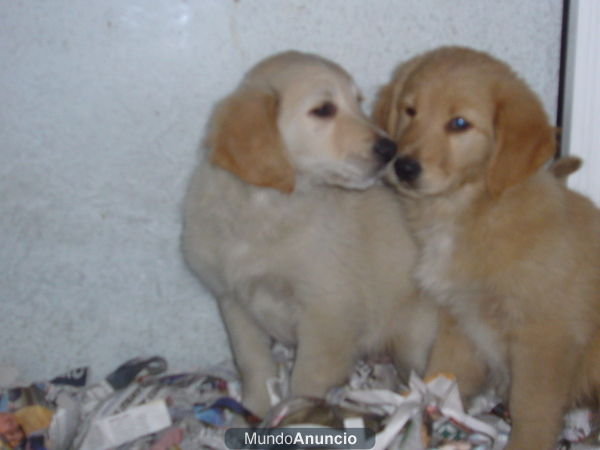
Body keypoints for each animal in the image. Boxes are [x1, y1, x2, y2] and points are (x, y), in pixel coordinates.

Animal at [183, 50, 436, 418]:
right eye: (324, 110)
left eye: (359, 102)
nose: (391, 148)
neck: (267, 207)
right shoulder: (234, 302)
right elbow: (253, 364)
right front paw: (253, 411)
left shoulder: (327, 310)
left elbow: (307, 378)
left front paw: (296, 415)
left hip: (416, 338)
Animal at [376, 46, 600, 450]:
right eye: (409, 111)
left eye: (459, 123)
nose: (403, 166)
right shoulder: (460, 321)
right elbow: (443, 373)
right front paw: (418, 411)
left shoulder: (545, 337)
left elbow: (533, 409)